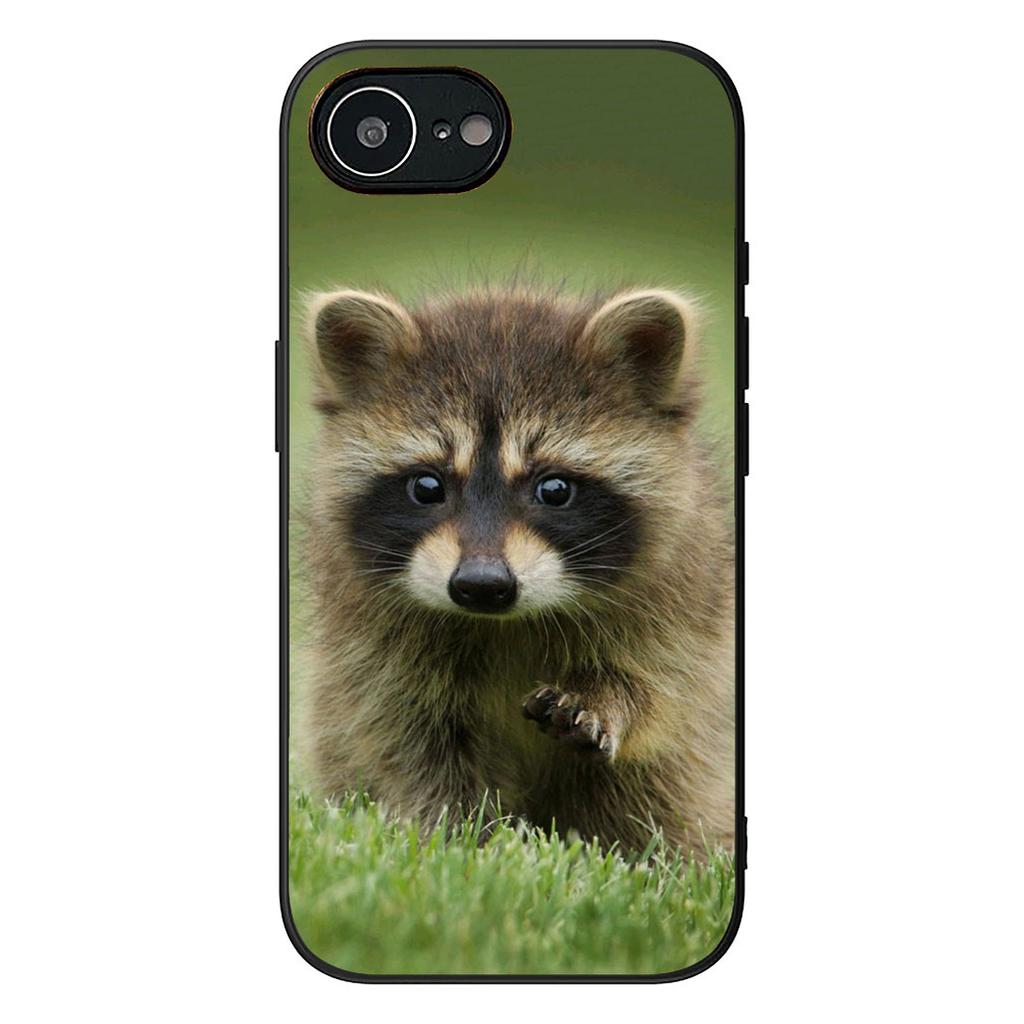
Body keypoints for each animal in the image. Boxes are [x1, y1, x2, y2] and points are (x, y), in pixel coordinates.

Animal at [300, 285, 734, 853]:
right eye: (427, 486)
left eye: (554, 489)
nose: (482, 586)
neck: (505, 623)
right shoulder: (370, 642)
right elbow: (408, 739)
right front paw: (462, 836)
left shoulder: (685, 595)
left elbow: (664, 688)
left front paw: (608, 696)